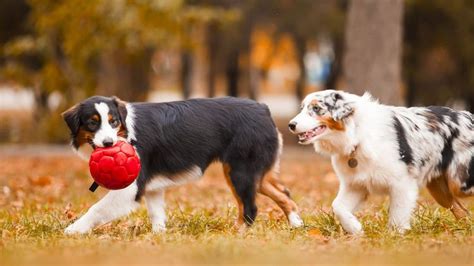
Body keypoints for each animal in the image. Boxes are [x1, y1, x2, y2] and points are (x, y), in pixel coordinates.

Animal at [63, 96, 302, 234]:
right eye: (92, 123)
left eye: (113, 121)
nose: (109, 144)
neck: (126, 131)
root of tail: (263, 108)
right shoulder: (152, 187)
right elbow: (156, 214)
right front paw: (158, 237)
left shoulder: (131, 188)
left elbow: (96, 208)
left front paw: (74, 229)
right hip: (253, 174)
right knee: (284, 193)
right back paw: (297, 224)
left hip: (240, 171)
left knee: (250, 208)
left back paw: (237, 234)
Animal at [286, 90, 472, 234]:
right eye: (302, 108)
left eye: (316, 108)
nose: (291, 125)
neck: (357, 135)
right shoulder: (355, 185)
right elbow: (337, 206)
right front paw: (355, 229)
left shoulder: (402, 184)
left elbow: (397, 216)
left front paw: (395, 238)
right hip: (440, 190)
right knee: (463, 212)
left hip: (460, 182)